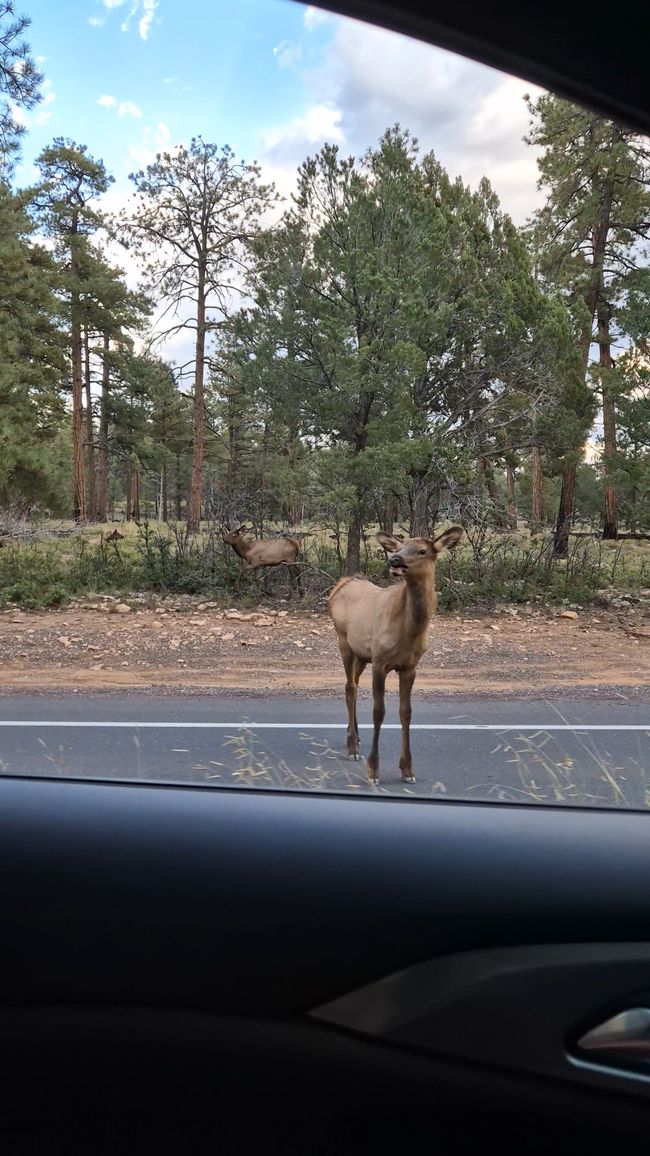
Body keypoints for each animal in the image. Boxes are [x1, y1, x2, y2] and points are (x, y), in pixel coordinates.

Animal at [328, 527, 460, 781]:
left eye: (422, 550)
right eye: (399, 547)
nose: (394, 560)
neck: (409, 631)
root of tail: (341, 584)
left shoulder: (410, 667)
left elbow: (405, 712)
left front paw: (407, 768)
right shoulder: (380, 662)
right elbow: (378, 712)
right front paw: (373, 768)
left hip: (362, 655)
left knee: (354, 685)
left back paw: (355, 735)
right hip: (344, 642)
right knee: (350, 687)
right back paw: (353, 746)